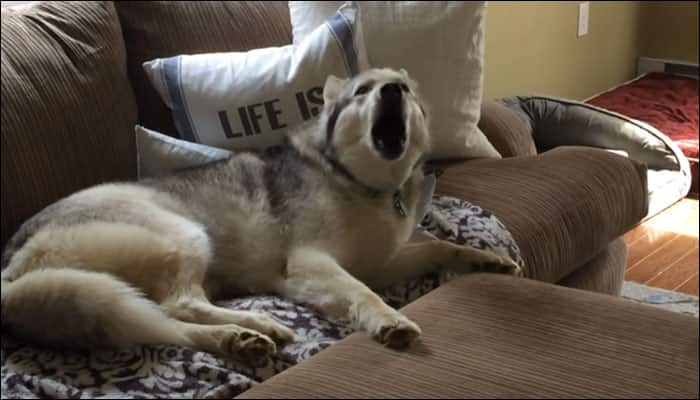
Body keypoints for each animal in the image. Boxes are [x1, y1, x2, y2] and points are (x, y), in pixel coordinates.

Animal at [1, 67, 520, 360]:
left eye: (407, 90)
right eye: (362, 91)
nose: (392, 91)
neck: (356, 179)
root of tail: (10, 267)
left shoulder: (381, 262)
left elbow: (437, 246)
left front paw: (485, 260)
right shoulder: (312, 263)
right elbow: (362, 292)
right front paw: (388, 320)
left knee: (162, 321)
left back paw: (237, 338)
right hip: (181, 233)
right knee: (176, 305)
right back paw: (255, 327)